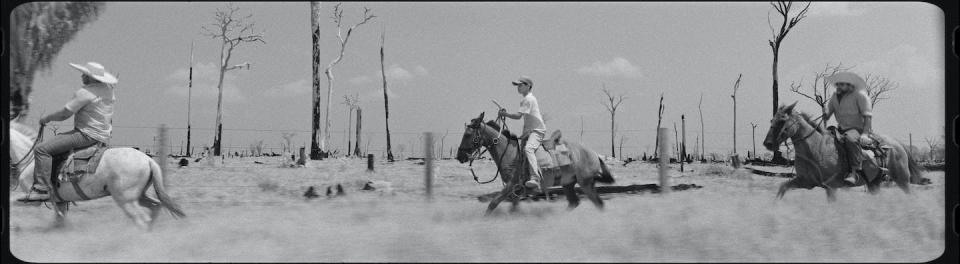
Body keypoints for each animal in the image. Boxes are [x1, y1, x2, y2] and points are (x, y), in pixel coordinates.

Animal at [8, 121, 186, 229]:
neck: (31, 160)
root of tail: (149, 160)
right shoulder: (60, 201)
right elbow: (60, 222)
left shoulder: (33, 199)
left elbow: (12, 202)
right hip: (139, 195)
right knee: (155, 207)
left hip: (126, 199)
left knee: (141, 219)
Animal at [456, 113, 616, 214]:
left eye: (468, 134)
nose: (459, 156)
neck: (510, 153)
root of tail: (595, 154)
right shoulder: (516, 191)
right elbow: (513, 208)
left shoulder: (511, 186)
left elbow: (492, 204)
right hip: (568, 184)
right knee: (574, 203)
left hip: (586, 183)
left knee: (598, 203)